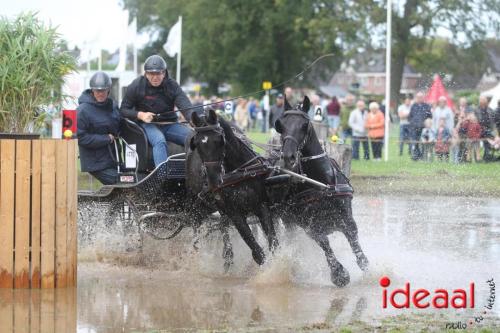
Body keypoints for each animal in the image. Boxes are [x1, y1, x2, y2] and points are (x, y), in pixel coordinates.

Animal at [189, 109, 280, 264]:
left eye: (219, 140)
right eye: (197, 144)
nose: (213, 179)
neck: (238, 174)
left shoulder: (262, 205)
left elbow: (273, 242)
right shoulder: (235, 213)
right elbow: (257, 252)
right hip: (202, 207)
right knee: (208, 226)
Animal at [274, 95, 368, 286]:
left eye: (304, 125)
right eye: (280, 125)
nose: (288, 157)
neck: (322, 185)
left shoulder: (346, 216)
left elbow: (354, 239)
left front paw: (366, 268)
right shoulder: (309, 224)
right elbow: (323, 242)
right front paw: (339, 274)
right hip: (288, 221)